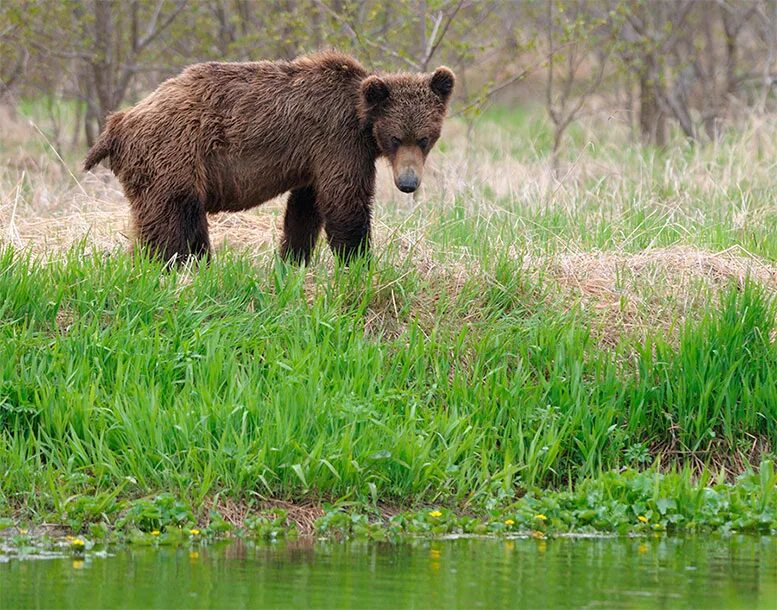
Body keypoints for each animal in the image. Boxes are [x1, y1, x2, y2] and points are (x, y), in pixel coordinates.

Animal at [83, 51, 454, 262]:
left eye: (425, 138)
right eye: (395, 137)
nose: (408, 183)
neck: (362, 118)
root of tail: (118, 123)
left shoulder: (314, 159)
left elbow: (305, 210)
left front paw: (292, 259)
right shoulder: (337, 140)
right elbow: (345, 202)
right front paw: (358, 260)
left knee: (178, 221)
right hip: (173, 154)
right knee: (172, 220)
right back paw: (171, 265)